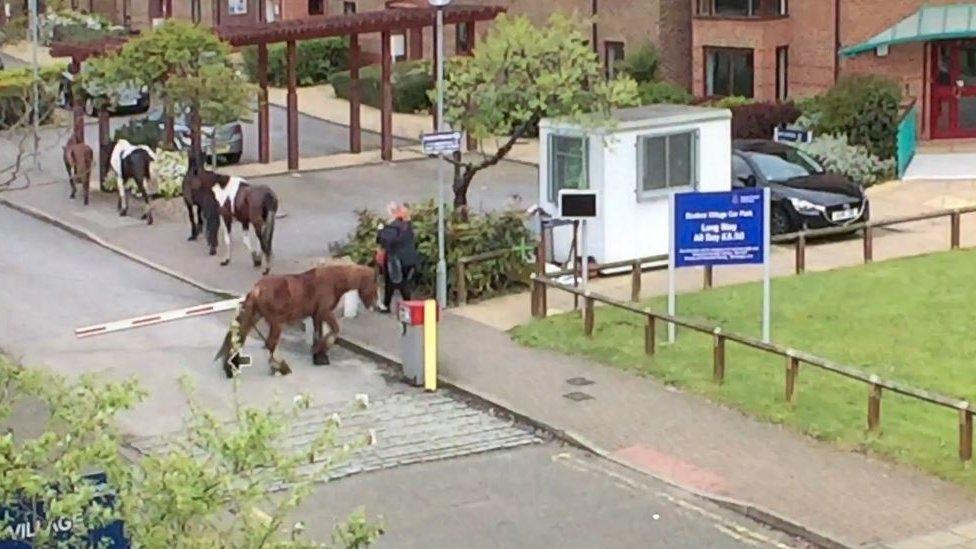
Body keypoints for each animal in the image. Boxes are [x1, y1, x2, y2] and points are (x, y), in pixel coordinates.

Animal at [214, 264, 378, 376]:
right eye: (374, 285)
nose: (376, 306)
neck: (332, 281)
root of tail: (257, 288)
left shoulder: (316, 315)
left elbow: (318, 334)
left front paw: (319, 356)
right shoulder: (325, 312)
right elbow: (335, 330)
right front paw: (320, 351)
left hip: (256, 316)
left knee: (240, 337)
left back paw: (231, 366)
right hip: (276, 322)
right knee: (270, 343)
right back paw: (279, 367)